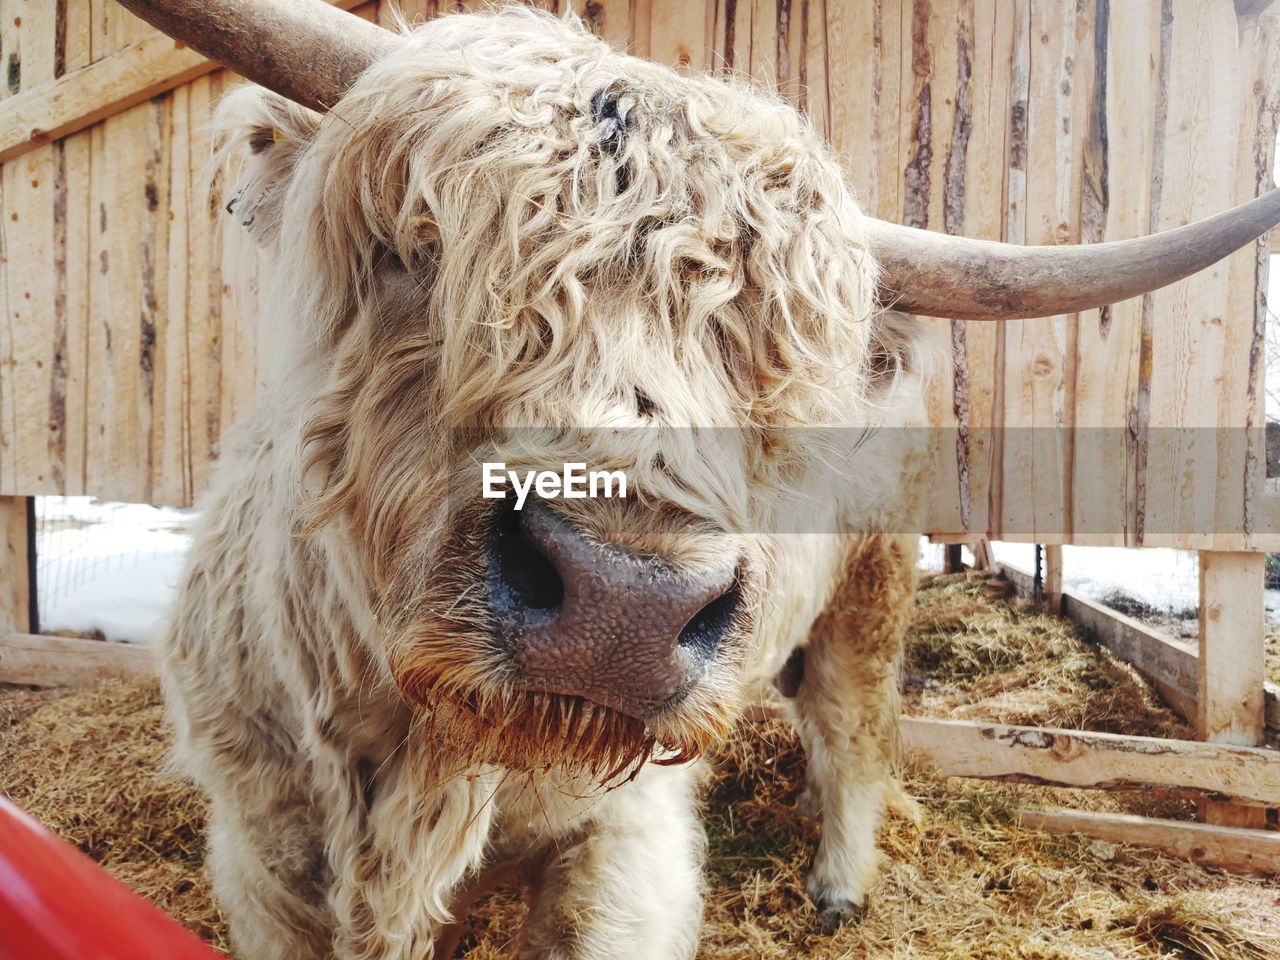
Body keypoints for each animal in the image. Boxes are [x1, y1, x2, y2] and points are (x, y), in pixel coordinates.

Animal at [110, 3, 1280, 957]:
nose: (622, 606)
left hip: (869, 599)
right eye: (411, 246)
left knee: (852, 734)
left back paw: (838, 889)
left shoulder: (623, 846)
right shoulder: (261, 846)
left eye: (774, 348)